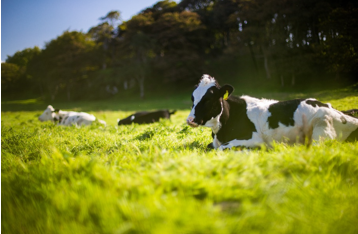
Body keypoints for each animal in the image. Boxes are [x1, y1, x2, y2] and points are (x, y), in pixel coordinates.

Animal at [186, 74, 358, 150]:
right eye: (192, 97)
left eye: (208, 99)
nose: (190, 120)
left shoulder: (253, 138)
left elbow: (222, 148)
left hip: (322, 128)